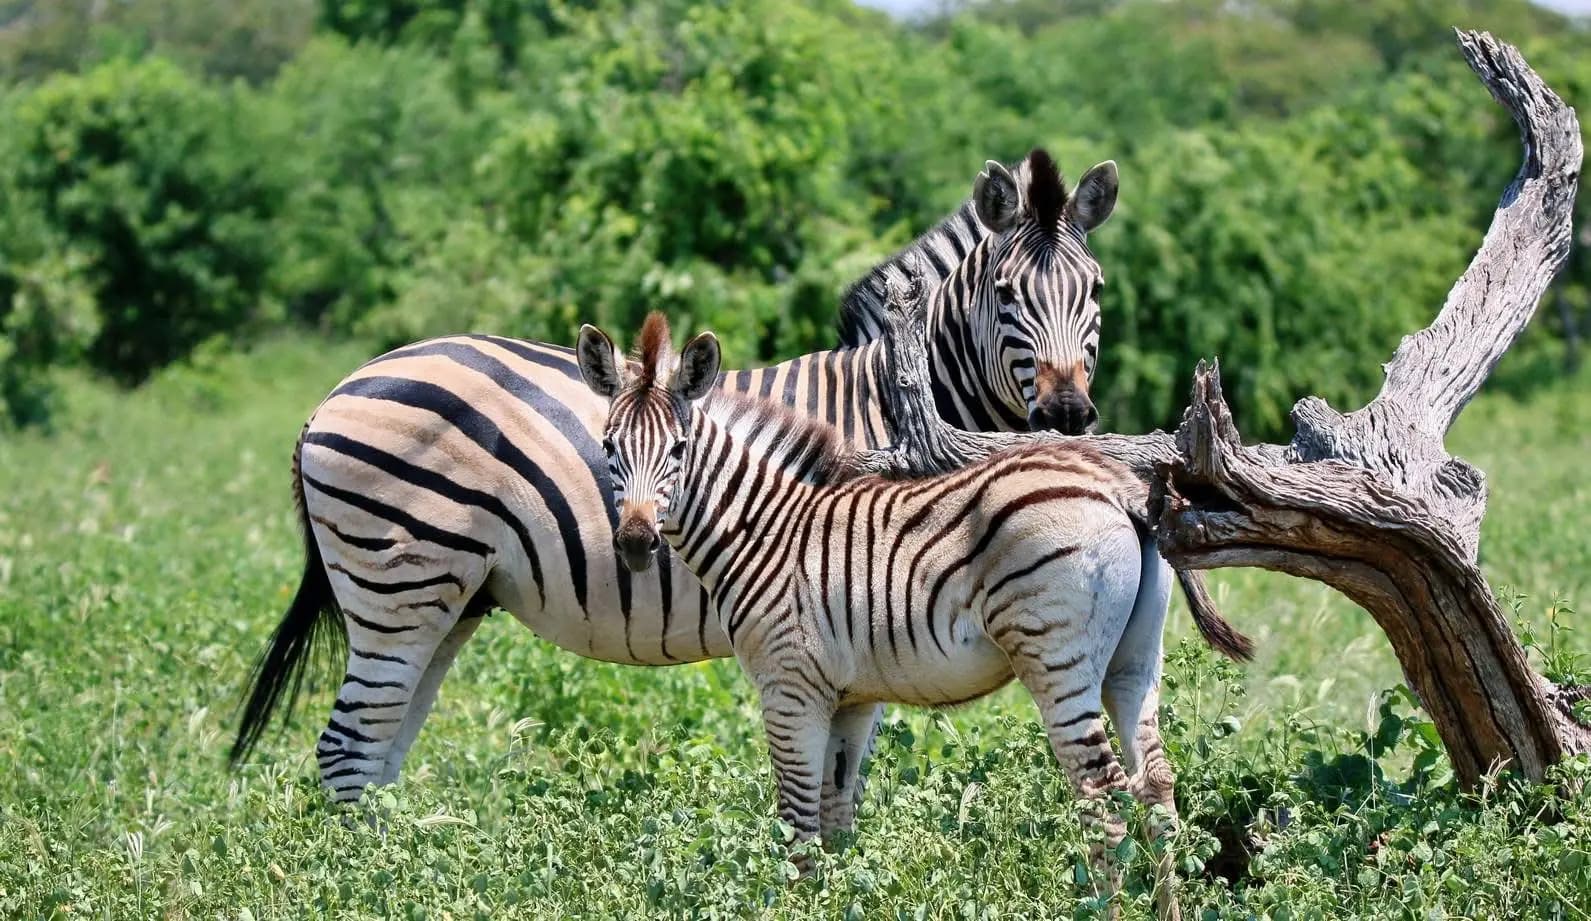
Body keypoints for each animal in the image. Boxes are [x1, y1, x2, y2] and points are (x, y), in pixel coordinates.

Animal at [229, 149, 1146, 802]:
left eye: (1097, 290)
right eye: (1005, 293)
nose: (1067, 414)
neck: (898, 399)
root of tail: (338, 390)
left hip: (449, 597)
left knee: (378, 749)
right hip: (400, 581)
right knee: (347, 746)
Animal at [577, 312, 1192, 916]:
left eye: (678, 450)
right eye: (608, 447)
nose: (635, 543)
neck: (766, 532)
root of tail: (1114, 485)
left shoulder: (788, 686)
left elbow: (797, 827)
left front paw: (801, 906)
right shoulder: (850, 697)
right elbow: (835, 822)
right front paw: (838, 903)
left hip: (1057, 658)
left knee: (1104, 797)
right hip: (1134, 661)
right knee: (1156, 786)